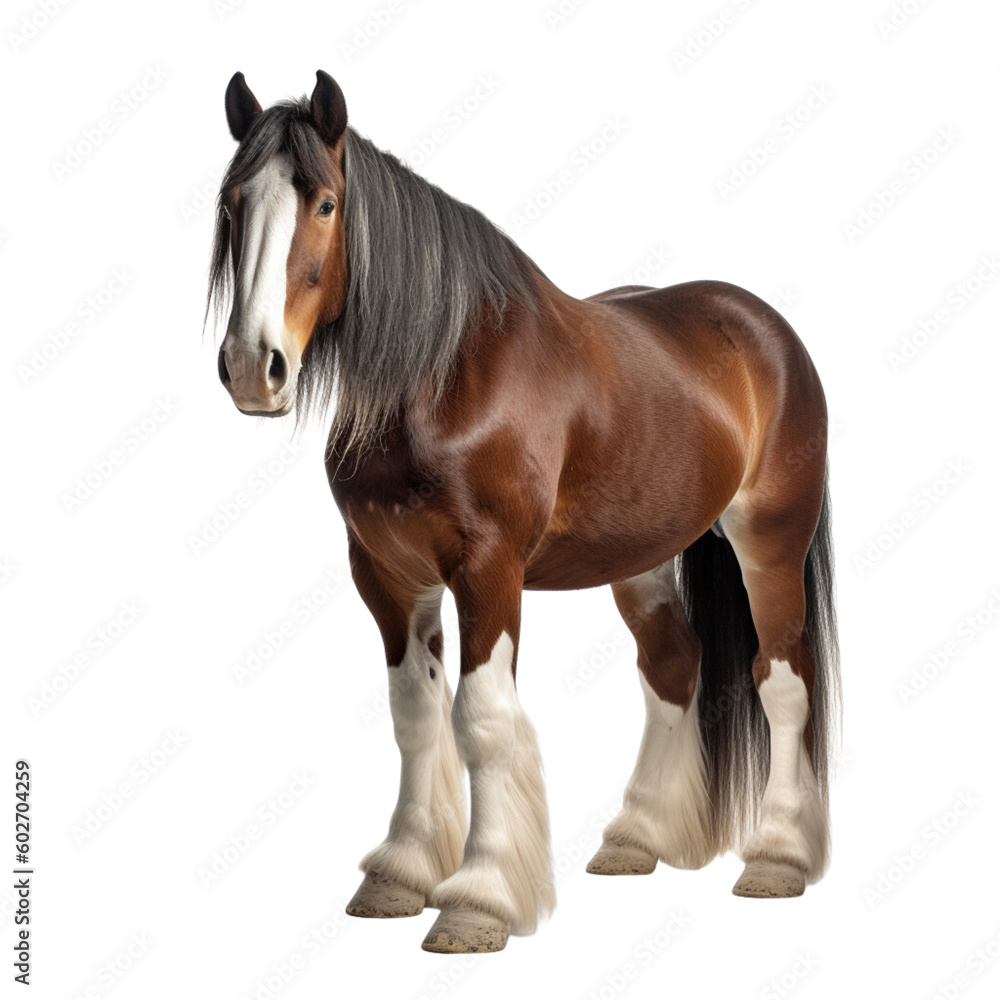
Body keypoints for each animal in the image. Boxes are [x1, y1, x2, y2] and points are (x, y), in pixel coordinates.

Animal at [208, 70, 840, 954]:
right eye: (233, 203)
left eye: (325, 202)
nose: (250, 367)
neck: (442, 373)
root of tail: (764, 329)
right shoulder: (387, 574)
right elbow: (416, 714)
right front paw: (401, 873)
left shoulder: (489, 570)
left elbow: (481, 719)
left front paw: (477, 900)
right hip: (643, 559)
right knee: (673, 666)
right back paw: (636, 838)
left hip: (771, 542)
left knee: (783, 680)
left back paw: (777, 856)